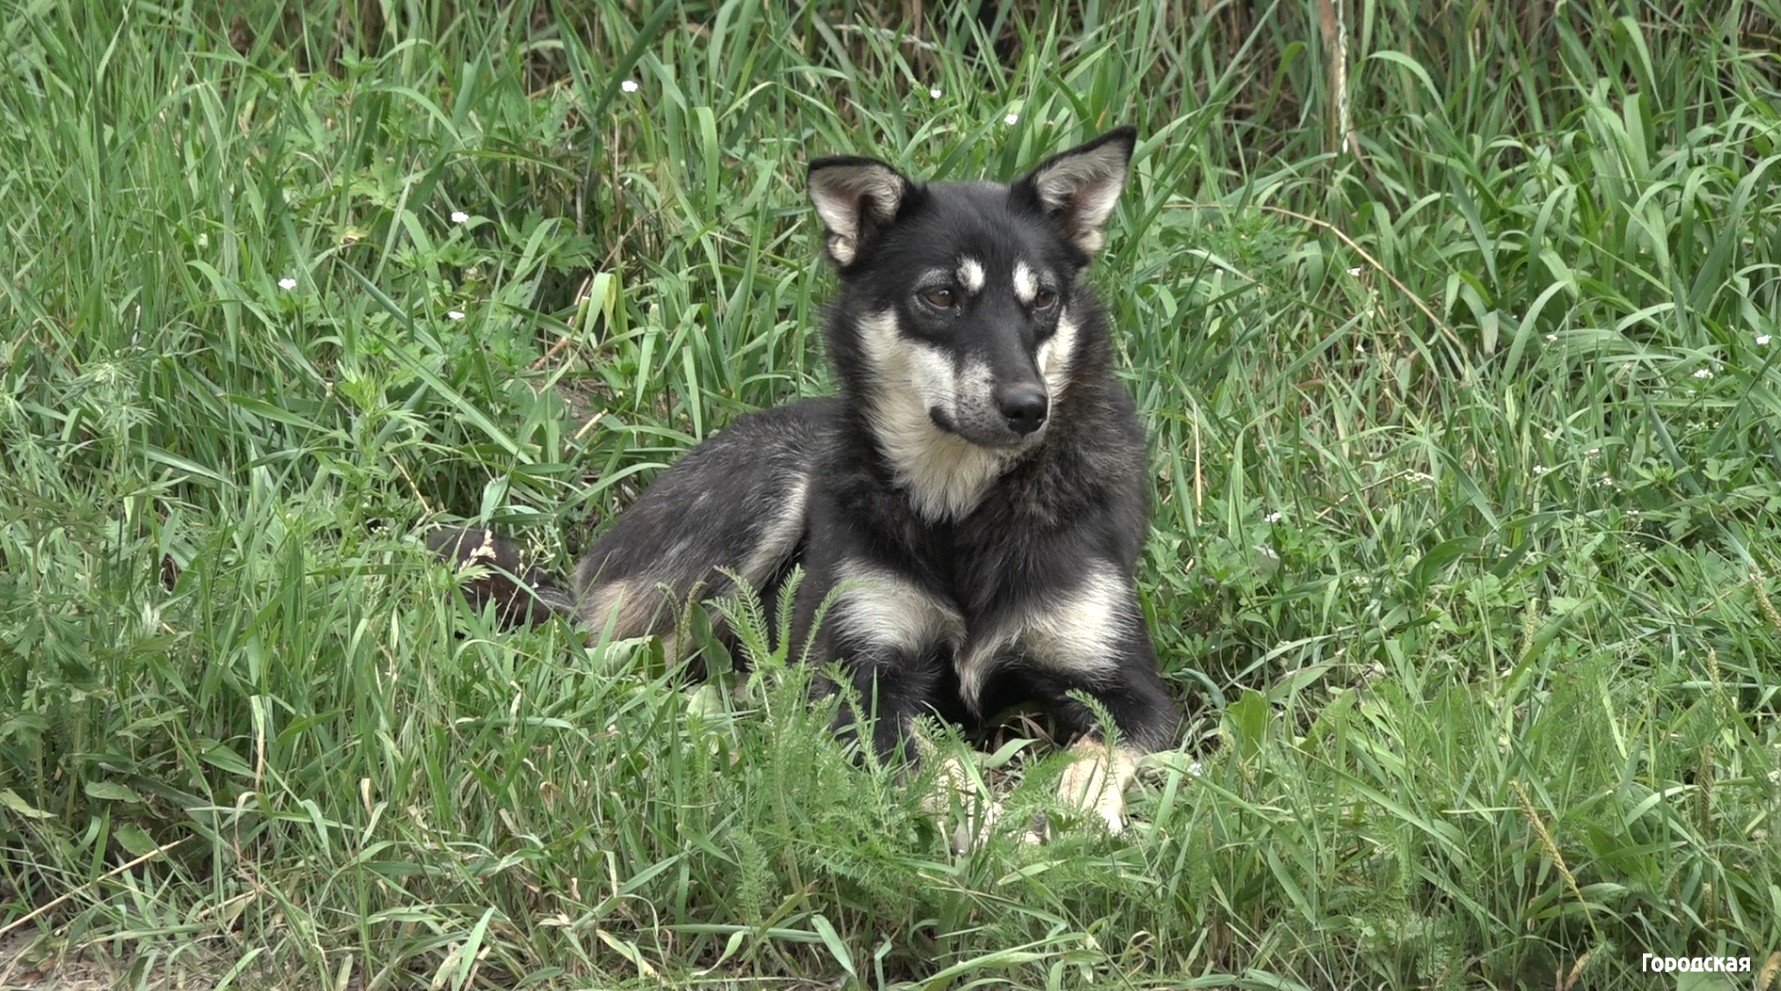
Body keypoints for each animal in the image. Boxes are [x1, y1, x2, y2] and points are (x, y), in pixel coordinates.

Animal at [429, 123, 1182, 837]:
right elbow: (932, 758)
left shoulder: (1129, 692)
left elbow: (1095, 755)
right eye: (940, 295)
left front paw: (1075, 818)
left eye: (1044, 299)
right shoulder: (857, 678)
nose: (1029, 407)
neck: (962, 504)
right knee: (608, 659)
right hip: (760, 506)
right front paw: (984, 825)